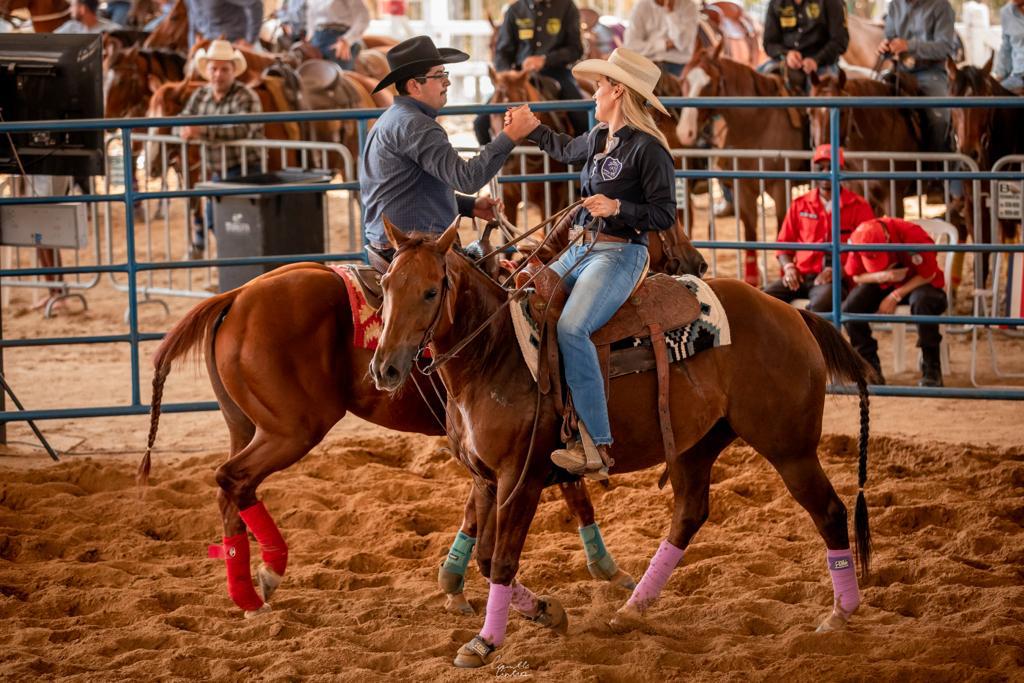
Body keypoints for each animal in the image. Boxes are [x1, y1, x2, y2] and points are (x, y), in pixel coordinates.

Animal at [138, 222, 704, 618]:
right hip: (290, 430)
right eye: (667, 218)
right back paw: (267, 577)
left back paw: (252, 592)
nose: (695, 259)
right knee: (233, 480)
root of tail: (235, 296)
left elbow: (498, 507)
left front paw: (454, 586)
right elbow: (571, 493)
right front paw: (609, 571)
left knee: (230, 489)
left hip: (247, 427)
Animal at [368, 223, 872, 667]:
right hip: (696, 444)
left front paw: (486, 642)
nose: (385, 368)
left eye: (431, 291)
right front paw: (546, 612)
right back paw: (631, 610)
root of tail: (791, 313)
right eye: (386, 285)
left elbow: (502, 562)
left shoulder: (520, 479)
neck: (496, 354)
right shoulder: (486, 479)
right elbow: (488, 556)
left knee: (829, 512)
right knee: (689, 514)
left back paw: (839, 614)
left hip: (790, 449)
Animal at [675, 40, 811, 286]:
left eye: (709, 84)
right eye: (683, 80)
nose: (685, 133)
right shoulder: (743, 187)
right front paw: (752, 279)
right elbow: (750, 233)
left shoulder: (780, 186)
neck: (757, 124)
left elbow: (781, 230)